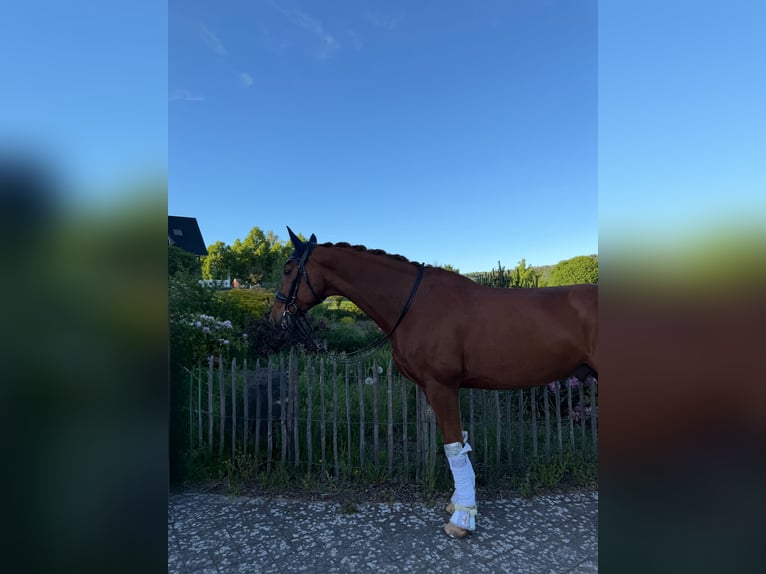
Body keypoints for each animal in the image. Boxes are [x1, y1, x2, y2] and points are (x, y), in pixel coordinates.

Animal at [269, 227, 598, 539]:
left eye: (287, 268)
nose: (274, 317)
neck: (413, 304)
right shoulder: (433, 389)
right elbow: (459, 443)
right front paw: (460, 504)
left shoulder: (442, 386)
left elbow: (454, 448)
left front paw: (462, 519)